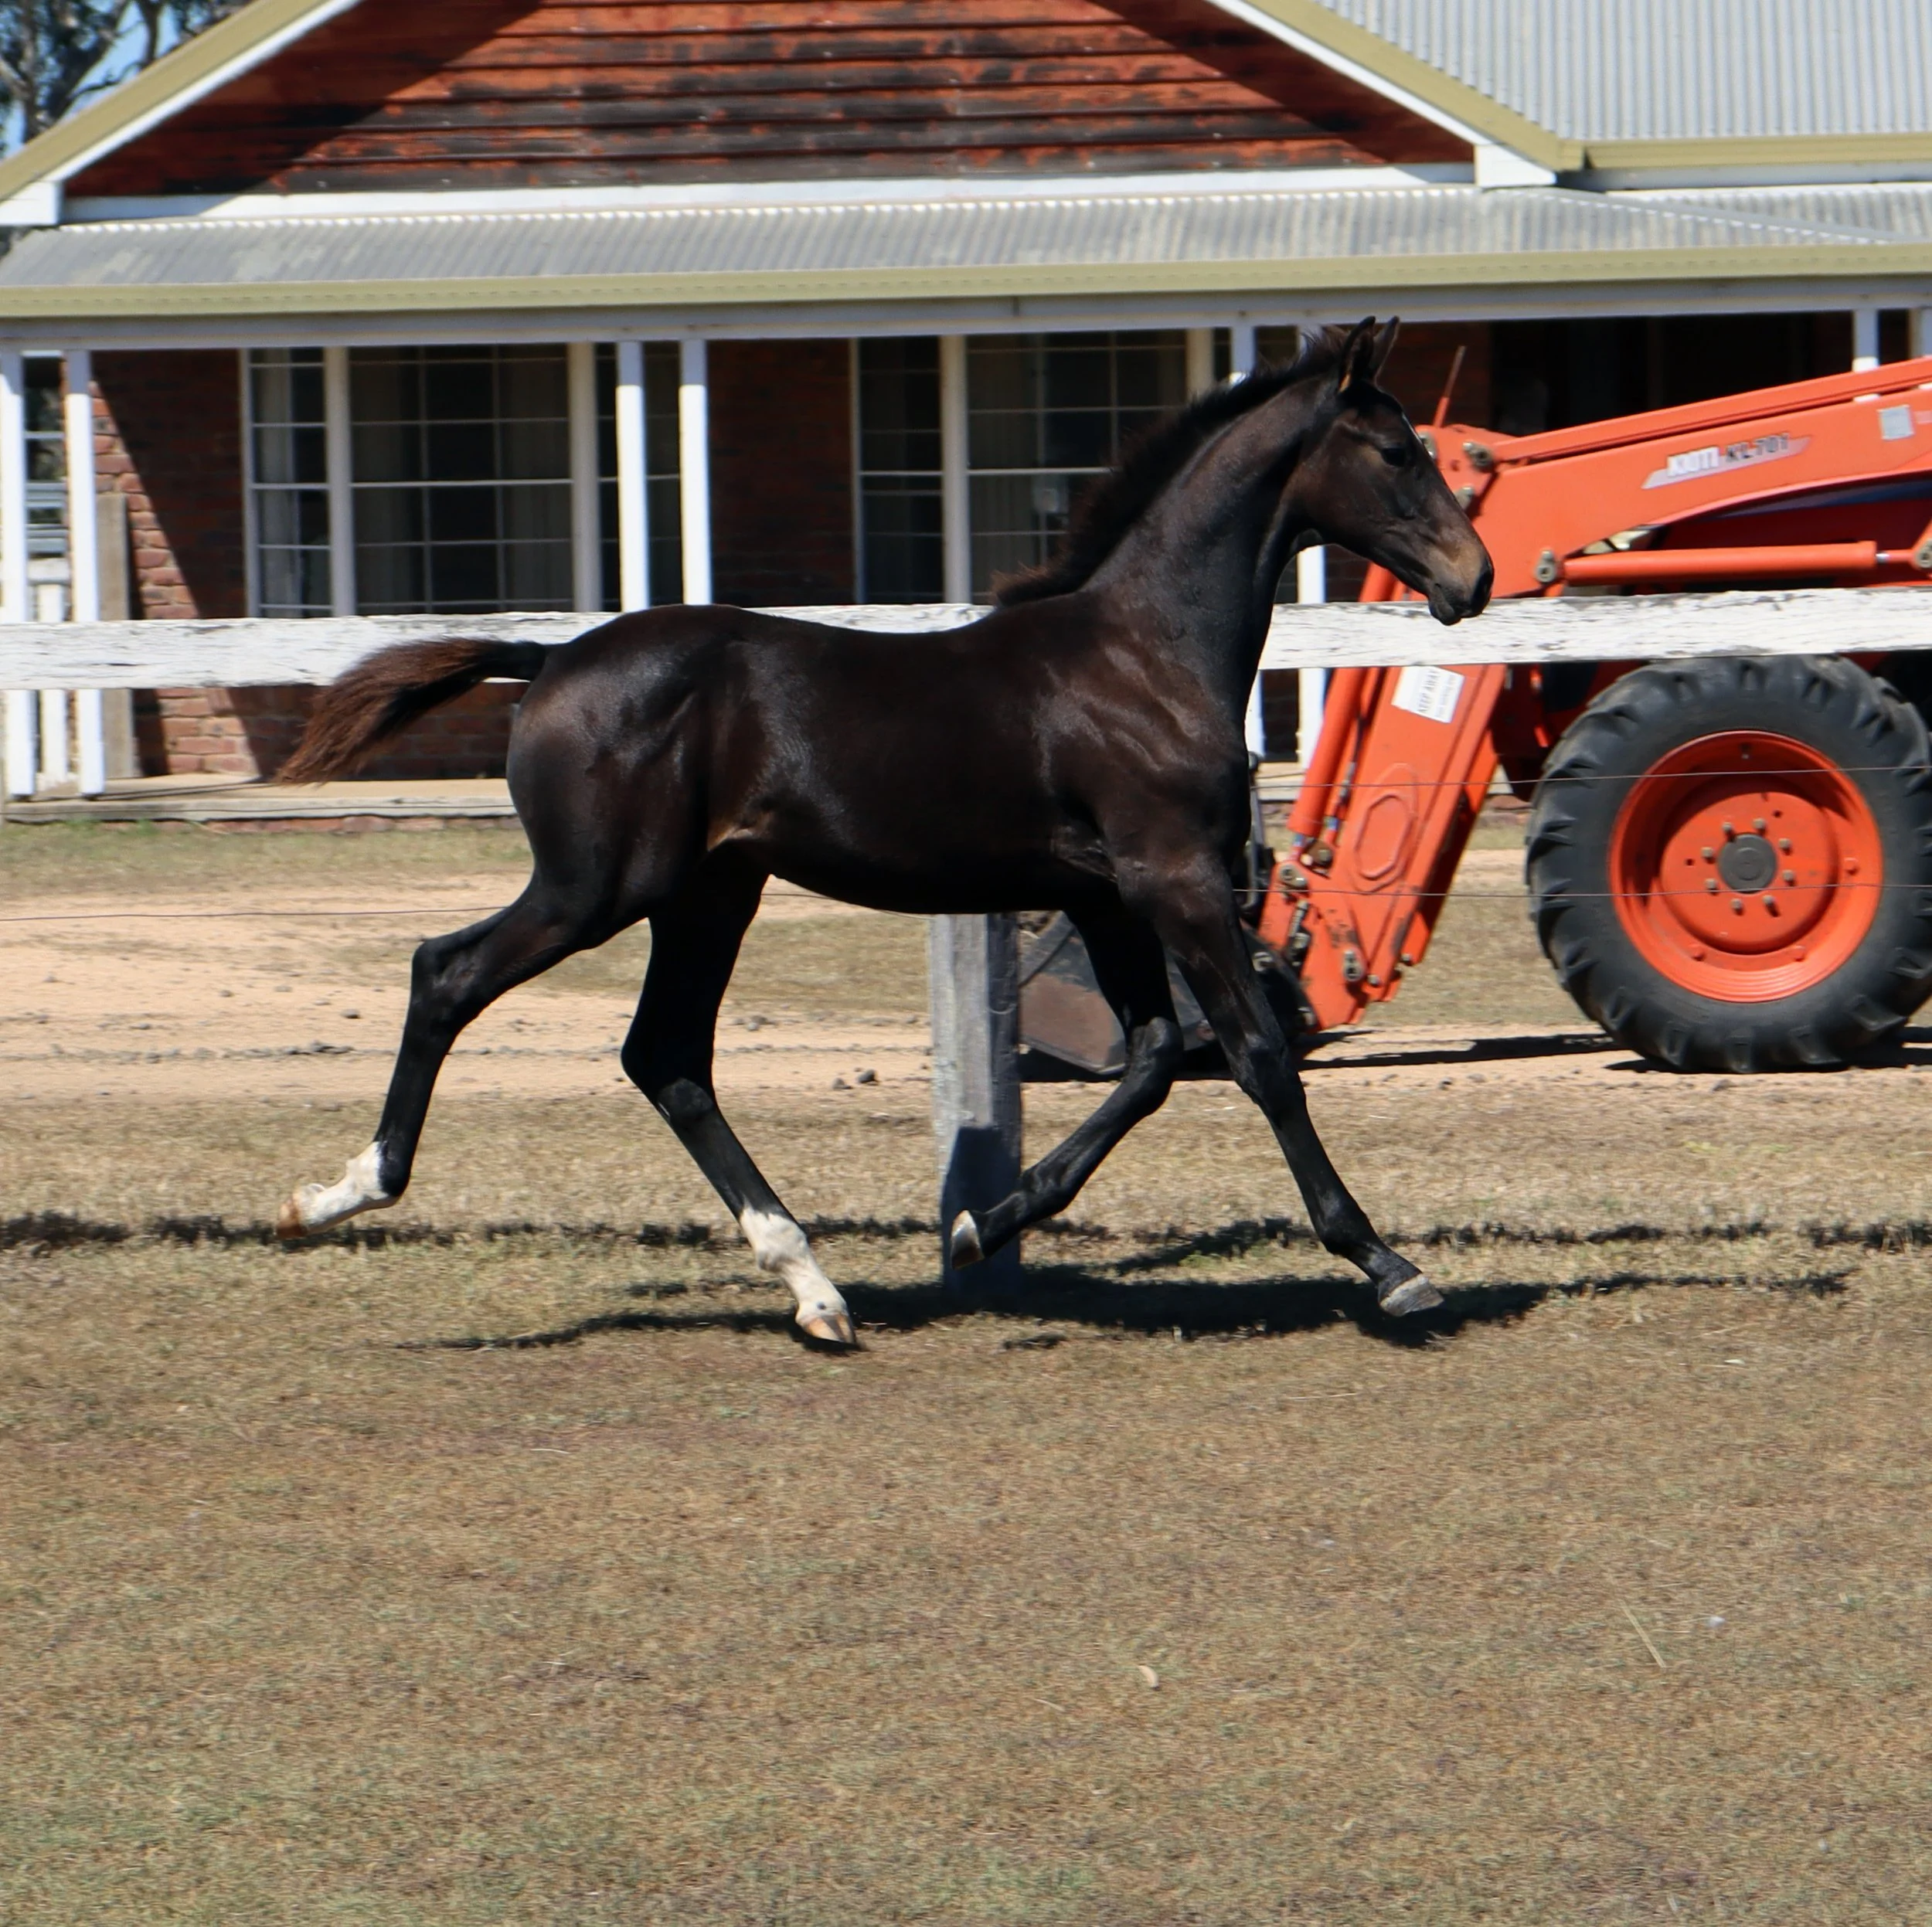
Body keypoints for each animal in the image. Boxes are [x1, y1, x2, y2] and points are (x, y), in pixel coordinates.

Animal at [272, 318, 1493, 1347]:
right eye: (1398, 450)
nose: (1472, 578)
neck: (1144, 654)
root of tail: (551, 660)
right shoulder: (1174, 880)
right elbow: (1259, 1056)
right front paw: (1390, 1266)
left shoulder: (1110, 893)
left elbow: (1150, 1059)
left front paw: (982, 1225)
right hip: (596, 887)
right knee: (449, 974)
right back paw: (338, 1194)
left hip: (708, 894)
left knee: (667, 1056)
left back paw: (813, 1289)